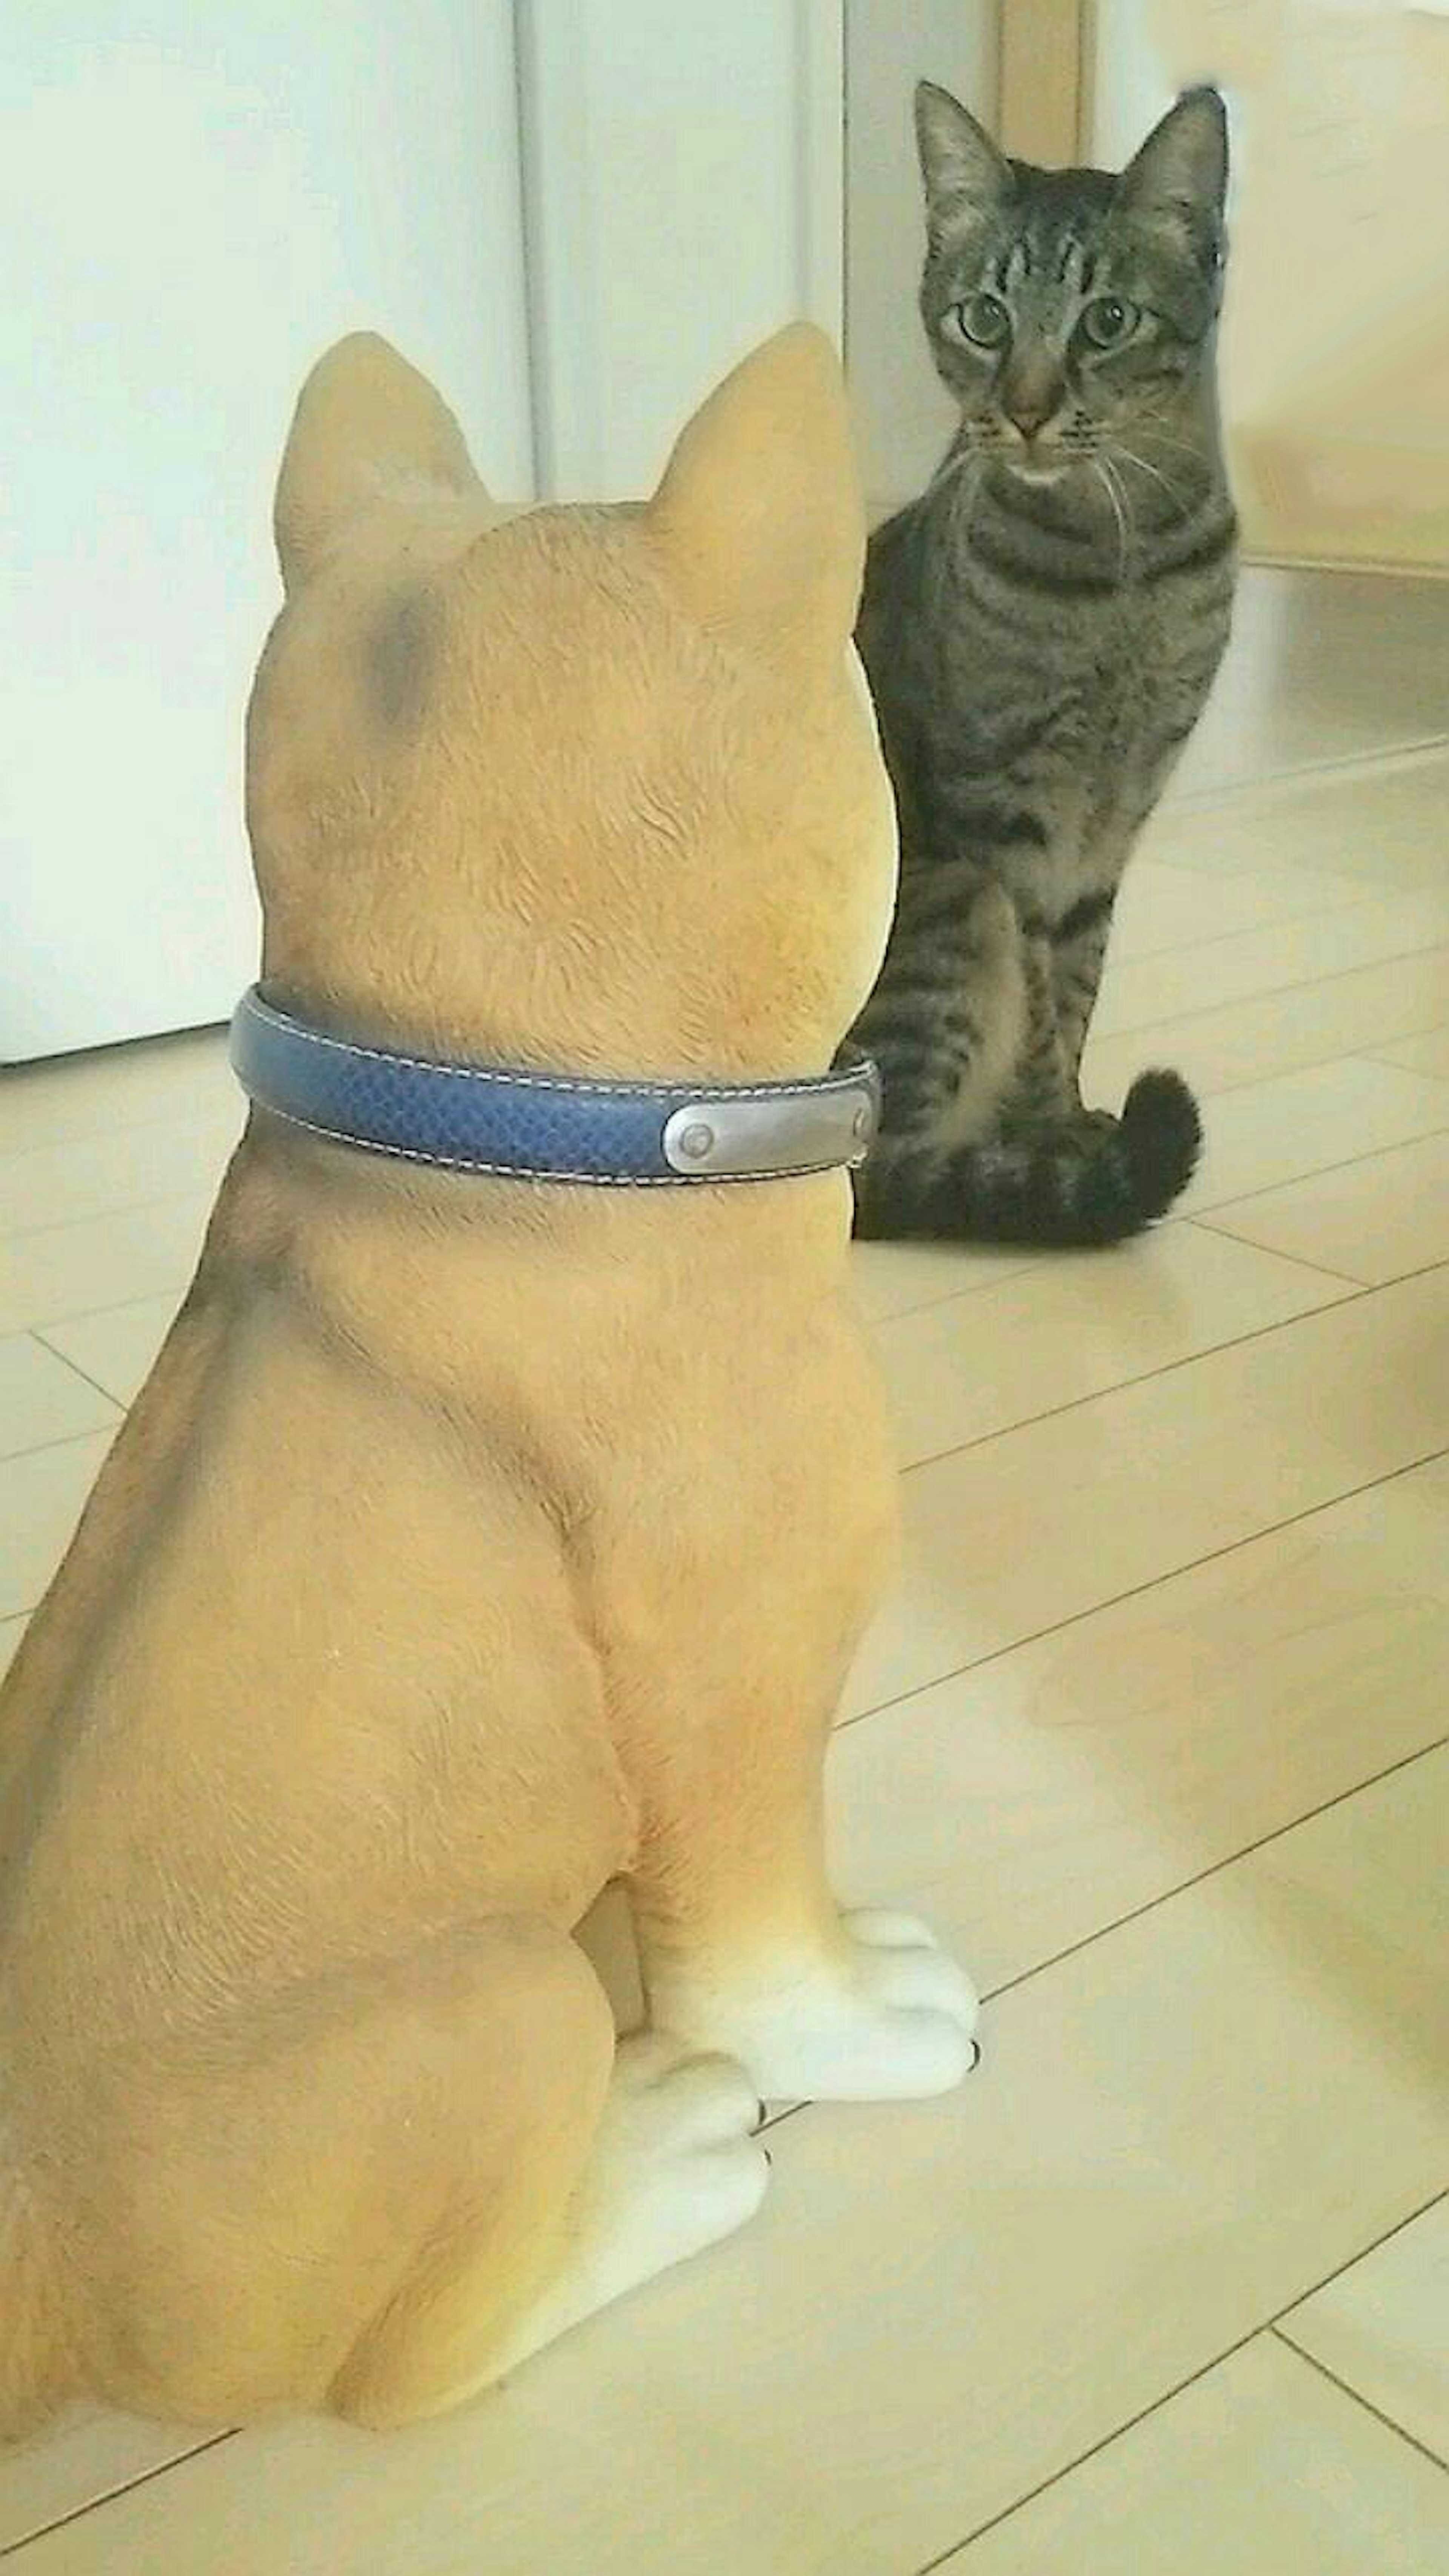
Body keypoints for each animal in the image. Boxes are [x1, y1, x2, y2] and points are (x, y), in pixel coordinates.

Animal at [851, 83, 1237, 1247]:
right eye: (984, 318)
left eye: (1106, 321)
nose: (1022, 410)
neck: (1122, 568)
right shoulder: (1010, 817)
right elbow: (1036, 1000)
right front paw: (1048, 1144)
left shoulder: (1116, 818)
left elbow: (1076, 986)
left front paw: (1062, 1121)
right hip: (952, 902)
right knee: (870, 1176)